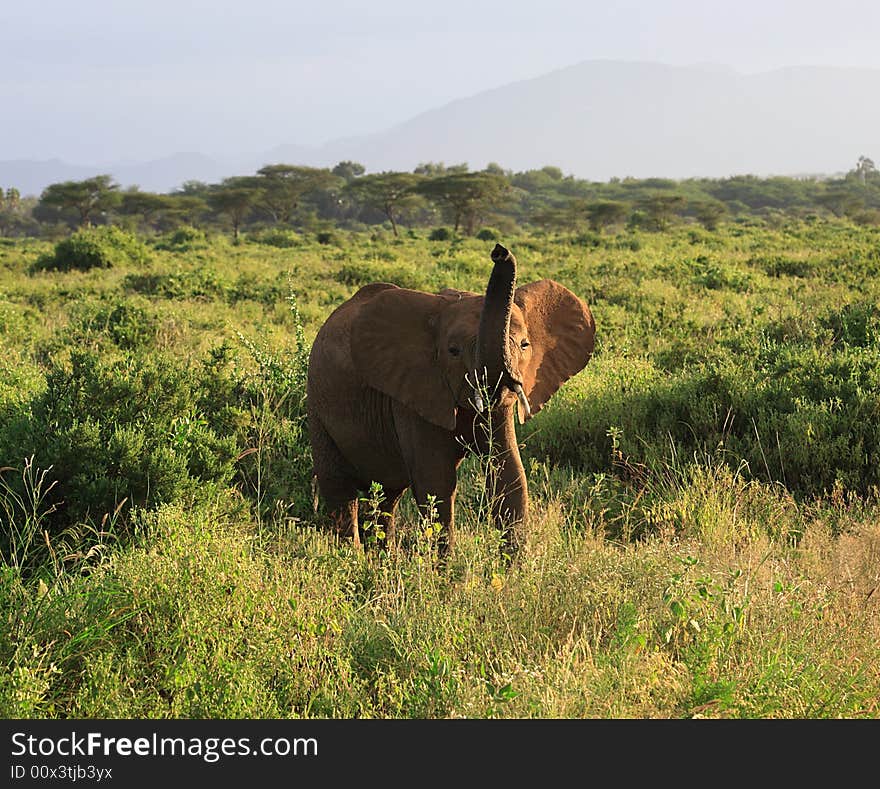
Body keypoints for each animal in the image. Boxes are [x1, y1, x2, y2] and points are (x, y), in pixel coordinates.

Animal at [306, 243, 596, 556]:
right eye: (453, 351)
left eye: (524, 345)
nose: (499, 251)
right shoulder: (413, 393)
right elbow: (436, 482)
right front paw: (444, 569)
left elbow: (509, 474)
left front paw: (514, 567)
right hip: (318, 405)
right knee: (341, 490)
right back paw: (353, 558)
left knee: (386, 495)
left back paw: (384, 558)